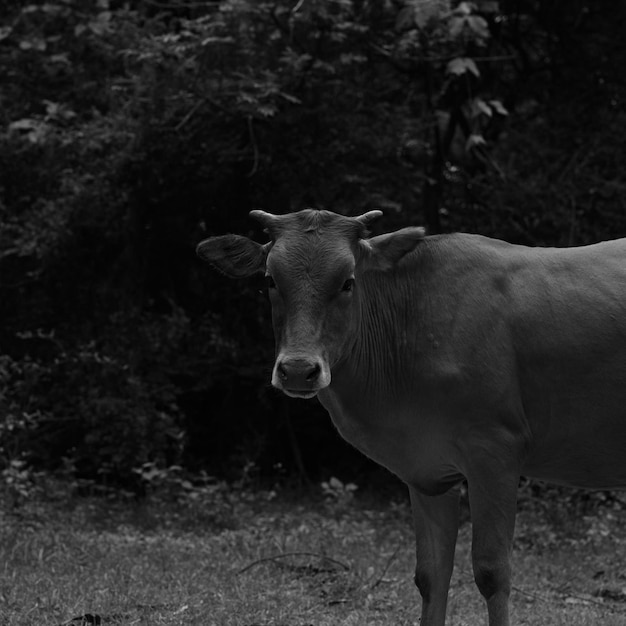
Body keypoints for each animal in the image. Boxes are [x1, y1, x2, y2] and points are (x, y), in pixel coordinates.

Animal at [195, 210, 624, 624]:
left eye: (348, 282)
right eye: (270, 279)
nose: (299, 370)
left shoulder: (496, 449)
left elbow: (492, 573)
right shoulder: (427, 471)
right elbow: (431, 575)